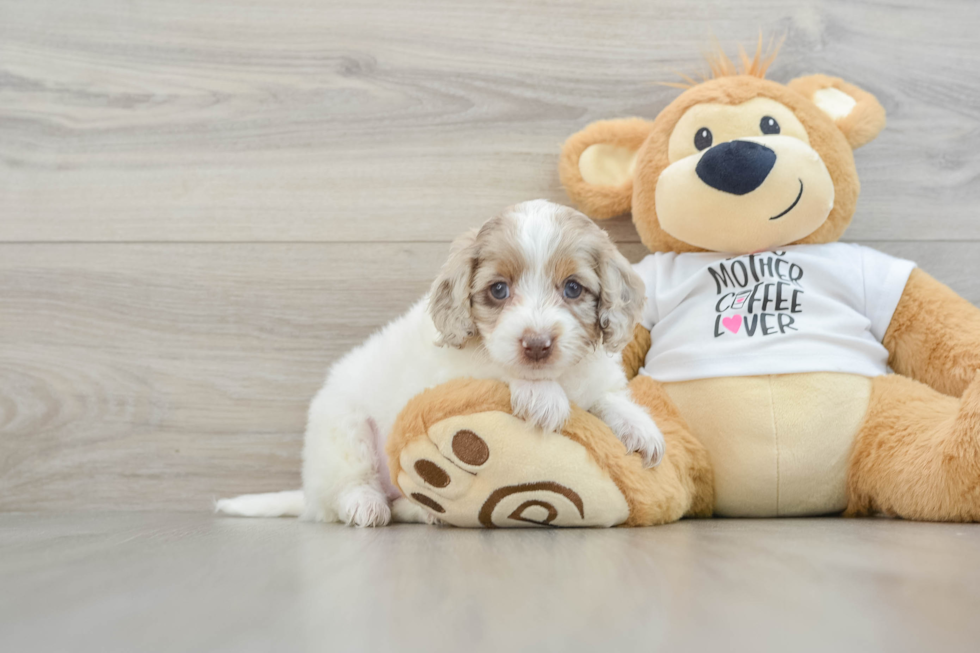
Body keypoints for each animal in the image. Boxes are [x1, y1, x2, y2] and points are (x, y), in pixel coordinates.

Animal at [218, 201, 664, 528]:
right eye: (498, 290)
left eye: (573, 288)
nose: (537, 345)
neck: (559, 375)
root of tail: (308, 492)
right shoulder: (456, 371)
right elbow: (499, 369)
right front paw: (543, 396)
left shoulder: (594, 374)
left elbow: (608, 397)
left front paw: (638, 424)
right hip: (341, 434)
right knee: (344, 489)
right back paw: (367, 504)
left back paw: (422, 510)